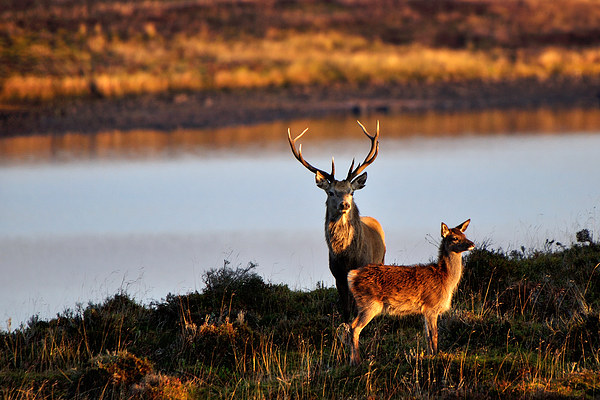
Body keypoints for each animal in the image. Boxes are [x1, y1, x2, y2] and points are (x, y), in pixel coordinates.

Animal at [288, 121, 386, 322]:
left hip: (381, 260)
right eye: (331, 192)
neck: (347, 257)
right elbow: (346, 310)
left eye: (352, 191)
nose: (345, 204)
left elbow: (357, 308)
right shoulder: (337, 274)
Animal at [346, 219, 474, 366]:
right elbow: (434, 334)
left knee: (351, 327)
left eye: (464, 235)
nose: (472, 244)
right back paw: (357, 361)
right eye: (455, 238)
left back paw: (351, 360)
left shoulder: (425, 311)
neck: (445, 279)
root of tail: (352, 275)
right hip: (369, 303)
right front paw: (436, 355)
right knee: (355, 327)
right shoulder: (431, 306)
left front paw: (430, 355)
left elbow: (428, 335)